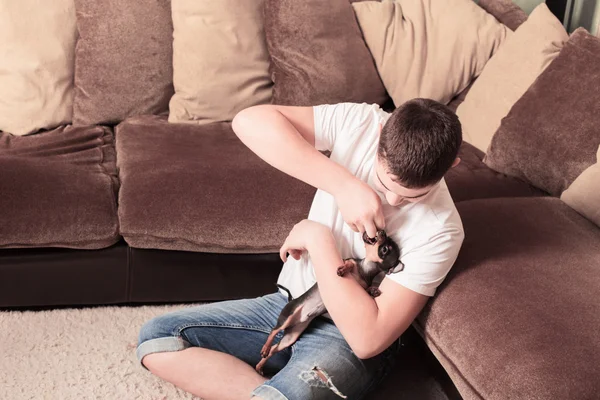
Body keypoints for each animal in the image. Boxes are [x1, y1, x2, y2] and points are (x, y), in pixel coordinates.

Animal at [254, 231, 404, 376]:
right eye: (386, 245)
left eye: (385, 249)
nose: (383, 232)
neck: (364, 270)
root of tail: (291, 301)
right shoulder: (348, 261)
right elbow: (349, 263)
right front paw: (343, 270)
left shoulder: (361, 289)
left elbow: (366, 289)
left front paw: (373, 290)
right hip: (288, 316)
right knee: (274, 331)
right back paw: (264, 349)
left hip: (291, 336)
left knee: (274, 347)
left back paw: (260, 364)